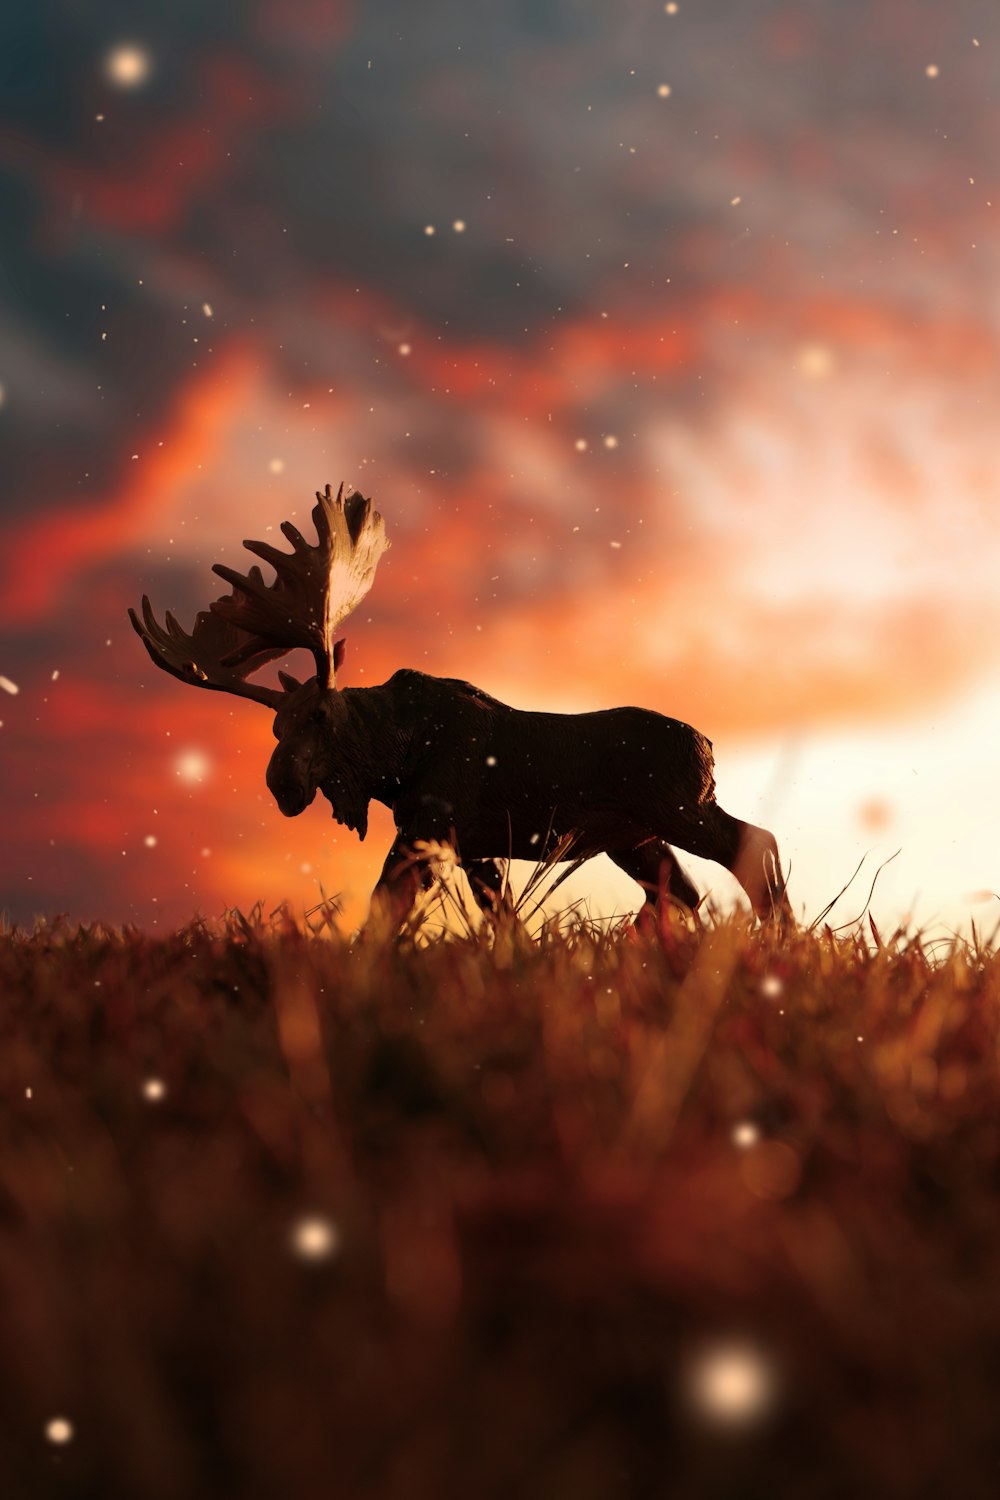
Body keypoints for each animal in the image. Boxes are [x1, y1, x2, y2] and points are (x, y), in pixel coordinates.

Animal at [131, 486, 791, 924]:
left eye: (318, 716)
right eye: (274, 725)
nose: (281, 785)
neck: (390, 759)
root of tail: (709, 747)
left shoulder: (428, 827)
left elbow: (384, 910)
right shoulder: (470, 846)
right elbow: (502, 918)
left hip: (677, 808)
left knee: (755, 846)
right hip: (631, 837)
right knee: (680, 891)